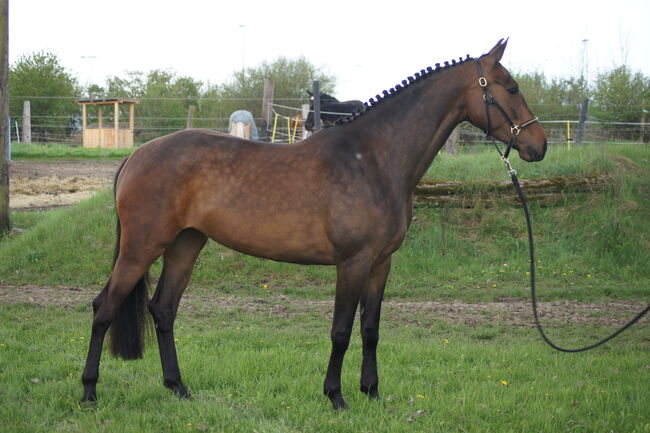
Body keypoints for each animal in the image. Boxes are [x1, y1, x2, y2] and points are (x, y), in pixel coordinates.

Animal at [82, 39, 548, 408]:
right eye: (510, 87)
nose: (538, 145)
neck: (372, 159)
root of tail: (136, 156)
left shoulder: (381, 264)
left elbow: (371, 329)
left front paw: (372, 393)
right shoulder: (353, 263)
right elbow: (341, 330)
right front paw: (336, 396)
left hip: (185, 245)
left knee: (162, 309)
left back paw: (178, 388)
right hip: (142, 247)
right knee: (104, 307)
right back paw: (89, 392)